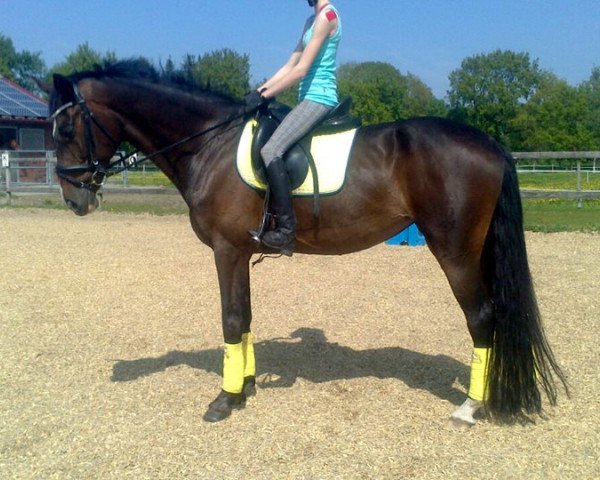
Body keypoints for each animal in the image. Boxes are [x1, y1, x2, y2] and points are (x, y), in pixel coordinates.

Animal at [47, 61, 568, 428]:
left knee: (481, 317)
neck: (210, 145)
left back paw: (469, 408)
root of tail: (490, 143)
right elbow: (245, 317)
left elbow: (230, 319)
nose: (74, 199)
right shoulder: (239, 252)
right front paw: (246, 387)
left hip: (456, 251)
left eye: (67, 129)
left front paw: (224, 400)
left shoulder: (226, 250)